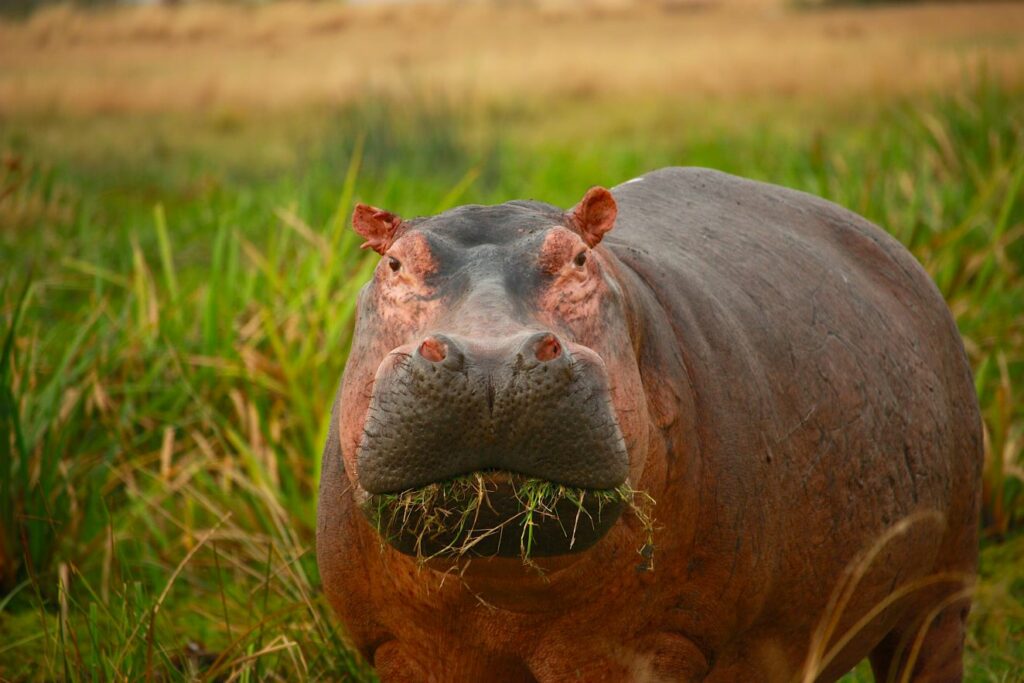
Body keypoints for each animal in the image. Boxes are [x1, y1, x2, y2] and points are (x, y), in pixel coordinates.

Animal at [316, 167, 981, 682]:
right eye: (394, 264)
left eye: (579, 258)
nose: (491, 360)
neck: (505, 589)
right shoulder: (404, 649)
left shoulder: (653, 645)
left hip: (941, 592)